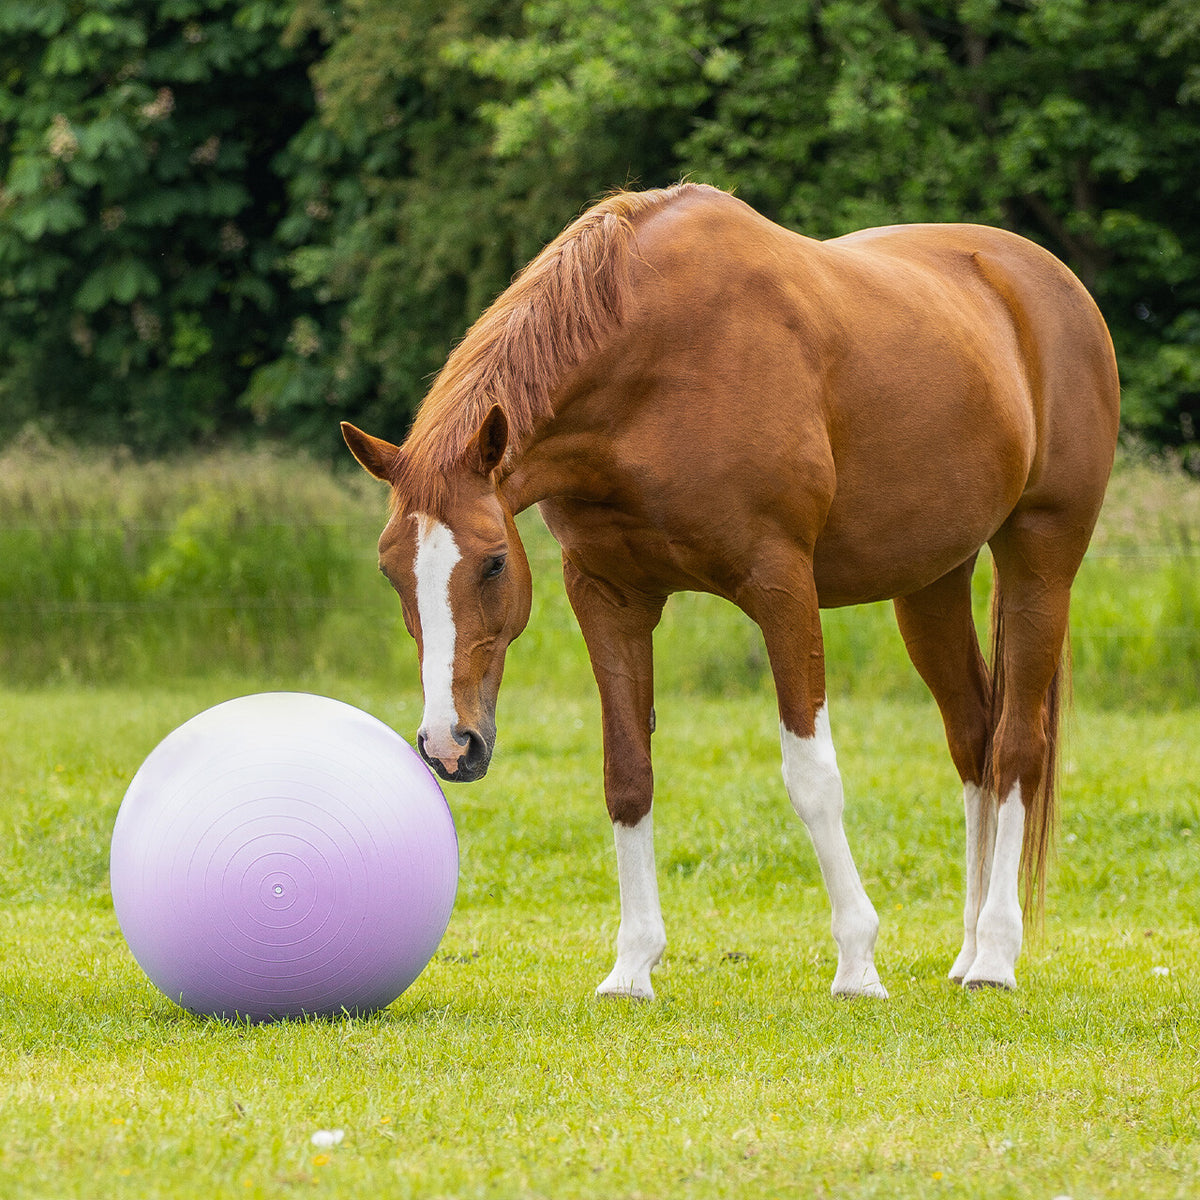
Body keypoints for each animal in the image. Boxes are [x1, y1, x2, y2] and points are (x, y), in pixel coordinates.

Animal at [342, 182, 1119, 999]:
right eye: (391, 568)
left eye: (493, 563)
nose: (448, 743)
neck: (653, 366)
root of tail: (1046, 282)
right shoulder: (608, 595)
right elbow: (627, 774)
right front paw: (633, 963)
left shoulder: (782, 586)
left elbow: (812, 777)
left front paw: (858, 961)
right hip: (932, 583)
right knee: (974, 741)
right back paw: (968, 951)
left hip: (1041, 558)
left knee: (1017, 745)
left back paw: (997, 954)